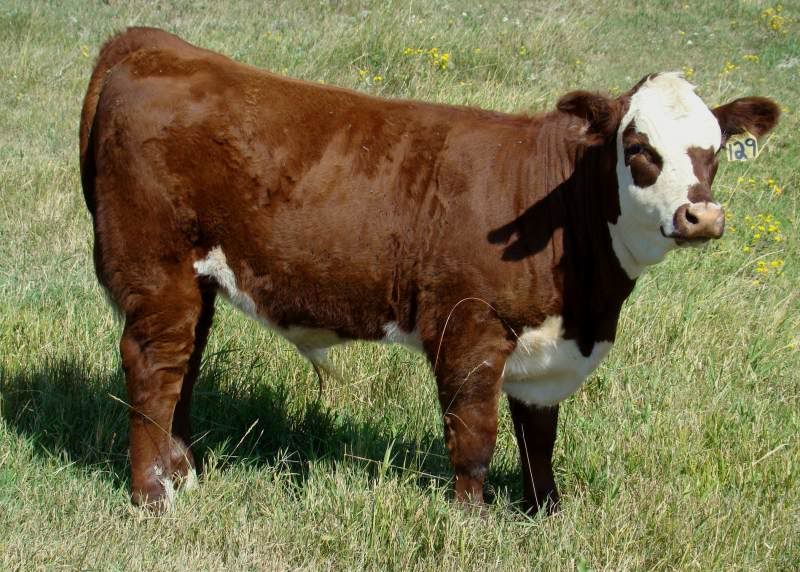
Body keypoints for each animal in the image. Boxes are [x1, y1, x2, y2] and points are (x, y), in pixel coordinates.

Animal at [79, 27, 780, 513]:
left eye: (715, 151)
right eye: (638, 149)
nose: (702, 216)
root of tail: (155, 46)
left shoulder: (547, 346)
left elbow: (538, 434)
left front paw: (546, 513)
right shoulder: (468, 323)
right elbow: (474, 434)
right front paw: (472, 518)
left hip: (194, 277)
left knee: (186, 363)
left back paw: (185, 473)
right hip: (155, 266)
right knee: (154, 365)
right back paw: (154, 496)